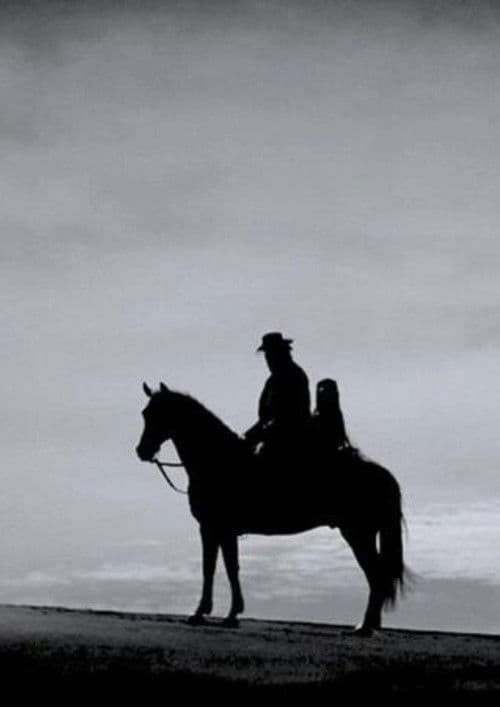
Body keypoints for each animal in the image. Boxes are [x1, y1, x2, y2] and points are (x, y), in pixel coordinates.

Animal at [136, 381, 407, 635]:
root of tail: (384, 475)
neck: (218, 461)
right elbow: (230, 567)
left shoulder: (212, 527)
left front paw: (204, 612)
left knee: (376, 576)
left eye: (160, 414)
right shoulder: (224, 530)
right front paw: (230, 613)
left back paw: (364, 626)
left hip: (358, 534)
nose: (142, 451)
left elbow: (212, 568)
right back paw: (369, 624)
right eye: (145, 413)